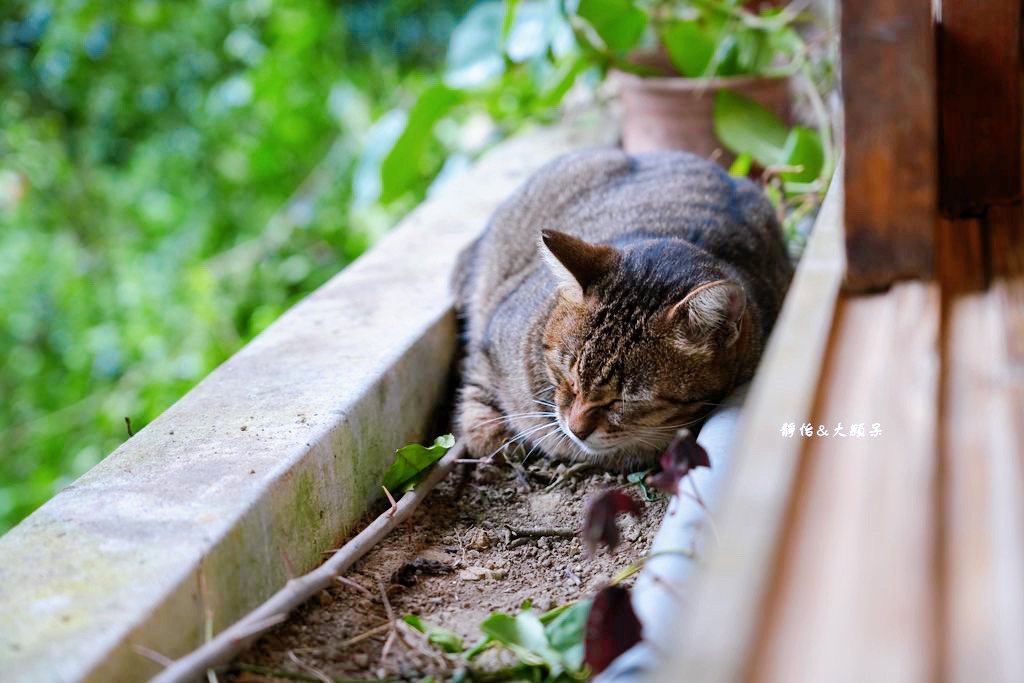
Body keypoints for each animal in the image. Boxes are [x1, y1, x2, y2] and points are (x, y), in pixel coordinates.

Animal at [452, 149, 794, 471]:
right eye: (568, 377)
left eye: (626, 400)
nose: (576, 429)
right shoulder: (493, 333)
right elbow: (477, 380)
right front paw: (489, 430)